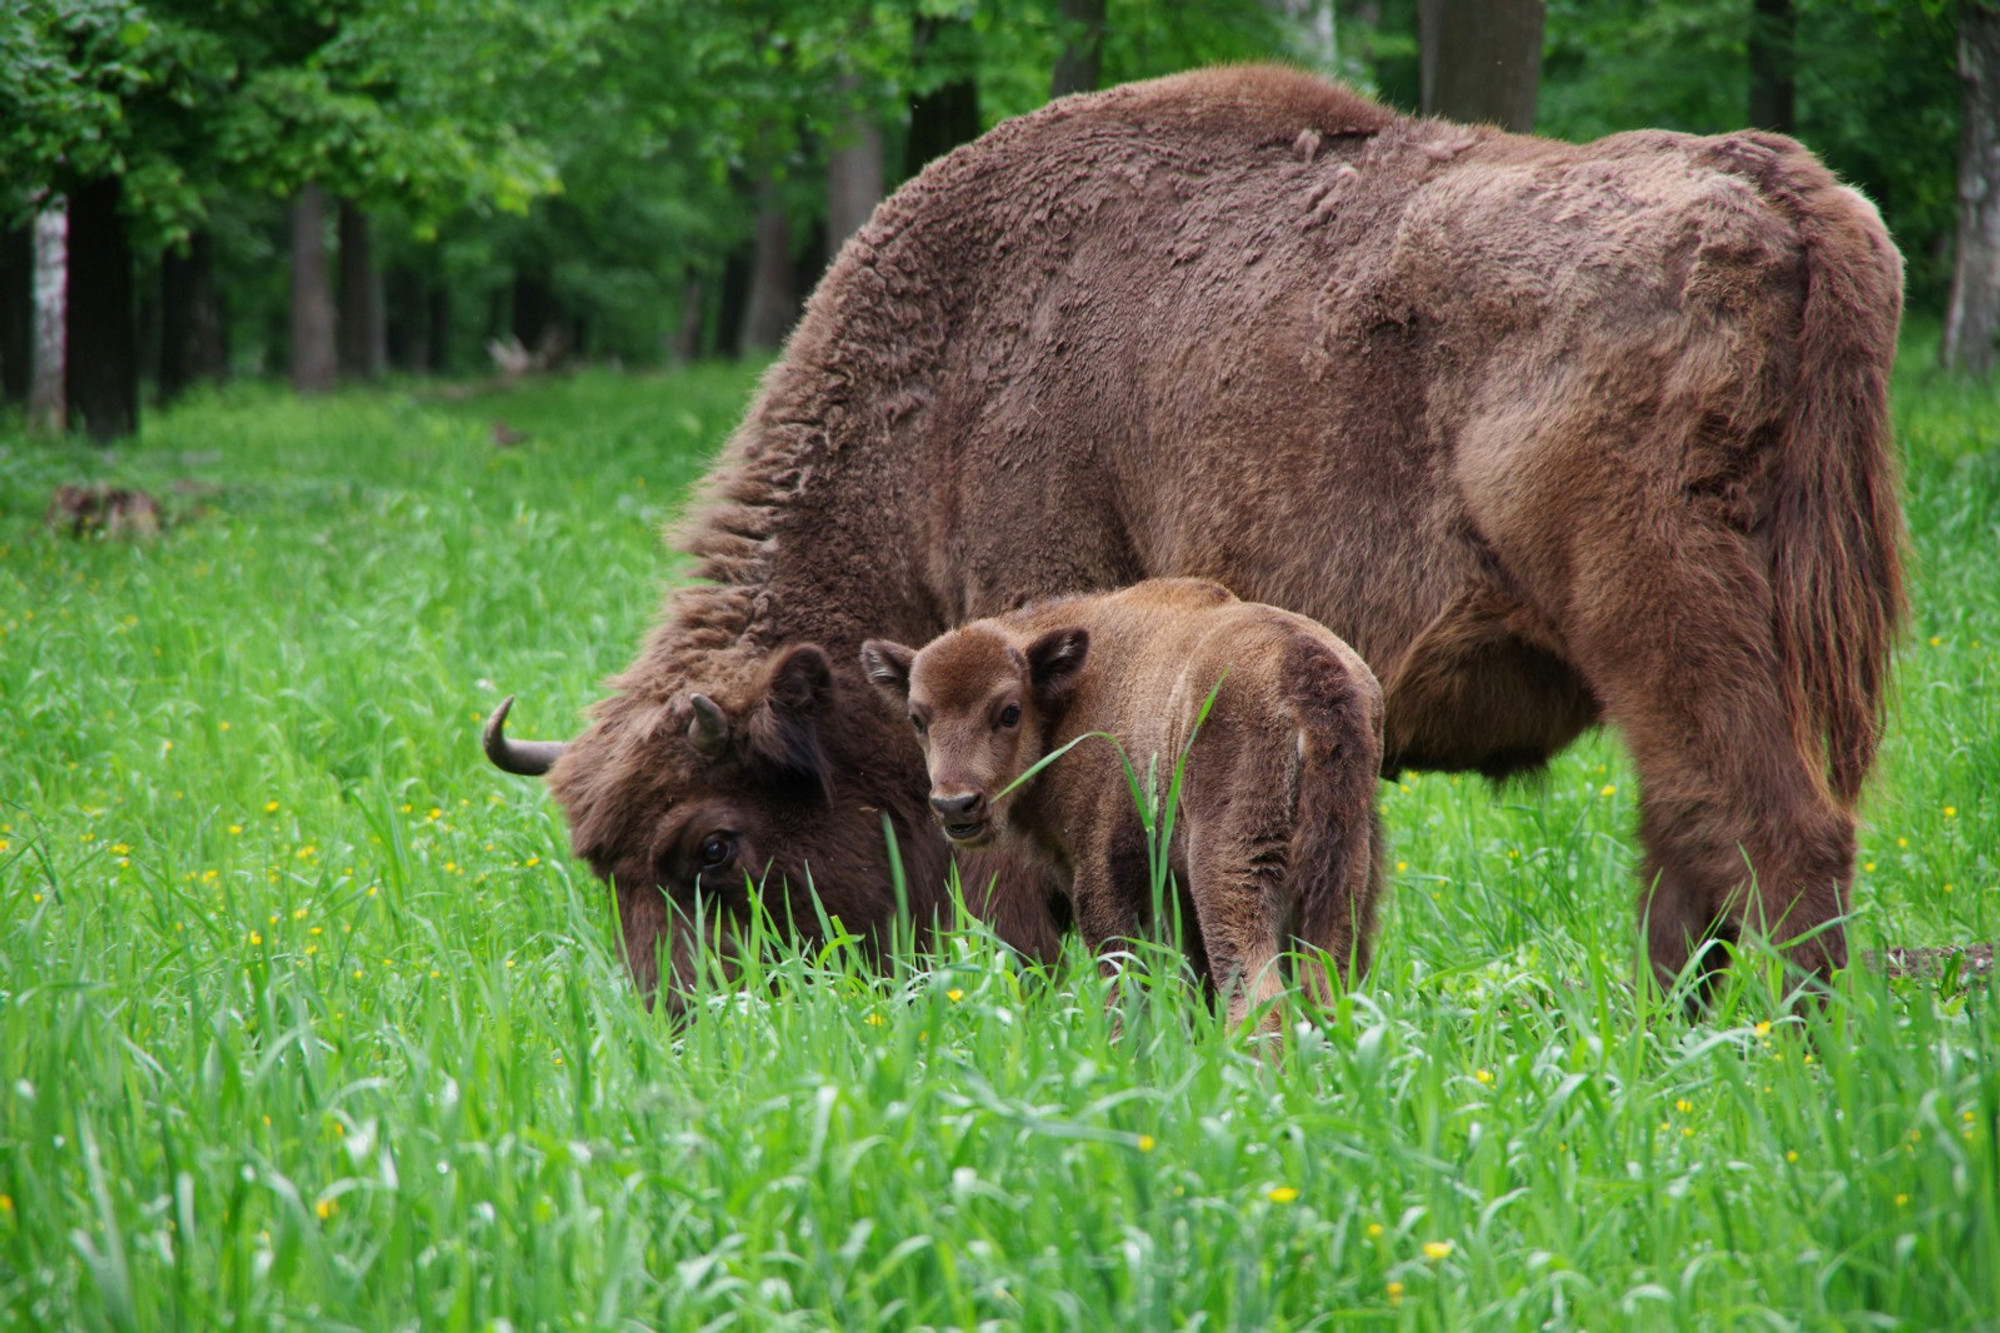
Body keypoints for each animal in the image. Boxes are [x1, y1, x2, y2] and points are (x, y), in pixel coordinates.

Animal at [860, 572, 1392, 1024]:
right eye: (917, 718)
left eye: (1009, 711)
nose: (955, 805)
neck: (1069, 698)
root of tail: (1309, 669)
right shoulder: (1177, 891)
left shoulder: (1106, 881)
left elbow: (1126, 986)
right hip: (1343, 874)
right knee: (1326, 988)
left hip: (1233, 867)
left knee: (1262, 997)